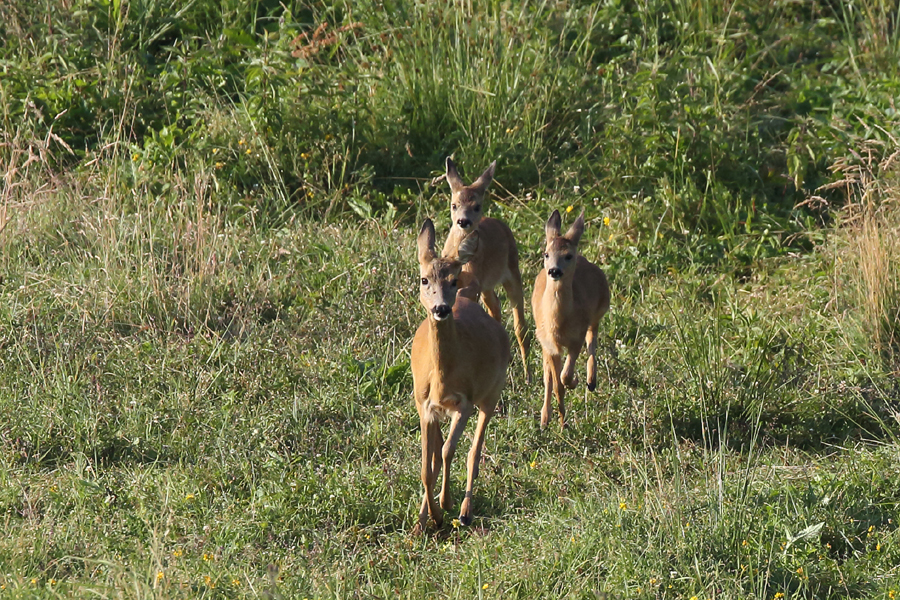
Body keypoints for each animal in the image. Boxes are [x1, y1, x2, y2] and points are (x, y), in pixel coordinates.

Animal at [412, 218, 510, 532]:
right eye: (424, 280)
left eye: (453, 281)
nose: (442, 308)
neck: (443, 378)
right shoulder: (425, 406)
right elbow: (427, 467)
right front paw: (430, 517)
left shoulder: (464, 402)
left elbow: (448, 452)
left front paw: (445, 504)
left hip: (492, 392)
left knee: (474, 451)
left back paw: (465, 512)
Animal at [444, 157, 532, 382]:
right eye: (454, 205)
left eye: (476, 206)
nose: (463, 221)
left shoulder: (474, 279)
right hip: (488, 286)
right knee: (495, 306)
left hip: (512, 271)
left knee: (520, 325)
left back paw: (527, 375)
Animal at [532, 210, 608, 426]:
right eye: (546, 254)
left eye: (568, 255)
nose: (554, 270)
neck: (558, 324)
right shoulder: (549, 345)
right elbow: (556, 383)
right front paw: (561, 422)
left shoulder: (576, 337)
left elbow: (564, 376)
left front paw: (575, 381)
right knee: (547, 377)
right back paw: (545, 419)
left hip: (600, 309)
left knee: (592, 339)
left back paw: (591, 381)